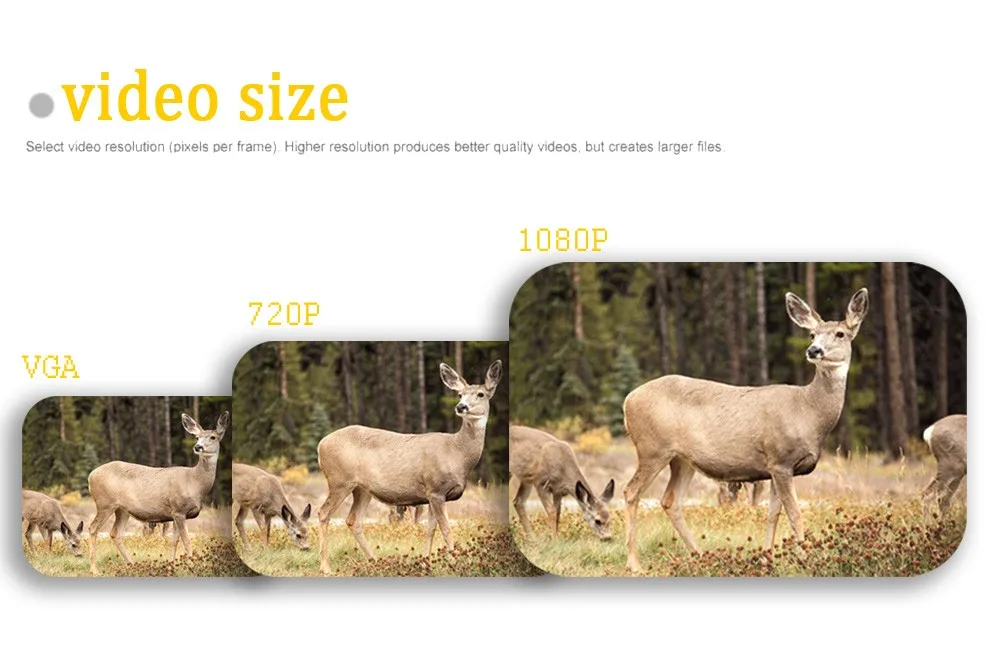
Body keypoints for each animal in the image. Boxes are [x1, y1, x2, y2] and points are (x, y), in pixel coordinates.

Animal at [86, 411, 229, 575]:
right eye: (197, 437)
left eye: (213, 437)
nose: (198, 447)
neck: (195, 483)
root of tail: (90, 476)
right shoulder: (179, 509)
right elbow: (186, 540)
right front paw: (193, 567)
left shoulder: (176, 514)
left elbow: (174, 540)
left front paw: (171, 567)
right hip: (105, 503)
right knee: (93, 528)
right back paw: (94, 569)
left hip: (122, 510)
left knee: (115, 533)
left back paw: (132, 564)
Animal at [316, 359, 502, 575]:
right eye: (459, 394)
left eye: (480, 394)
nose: (461, 406)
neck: (457, 454)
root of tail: (320, 445)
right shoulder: (436, 488)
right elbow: (446, 528)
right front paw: (457, 564)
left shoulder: (433, 494)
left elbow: (430, 529)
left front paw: (426, 563)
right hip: (340, 480)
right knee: (323, 513)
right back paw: (326, 567)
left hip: (362, 489)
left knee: (353, 519)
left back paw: (375, 561)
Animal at [622, 288, 869, 573]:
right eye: (812, 334)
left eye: (840, 334)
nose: (814, 350)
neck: (808, 412)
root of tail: (628, 400)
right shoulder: (781, 459)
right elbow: (795, 513)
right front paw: (807, 561)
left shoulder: (776, 467)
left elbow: (773, 513)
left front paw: (766, 559)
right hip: (652, 449)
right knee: (631, 492)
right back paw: (634, 564)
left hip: (682, 459)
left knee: (670, 500)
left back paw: (701, 555)